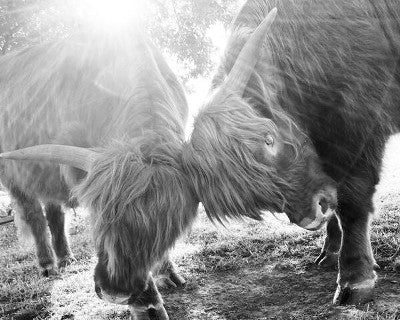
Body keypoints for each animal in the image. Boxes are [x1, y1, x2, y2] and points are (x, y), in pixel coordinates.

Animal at [0, 28, 198, 318]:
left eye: (168, 230)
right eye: (99, 220)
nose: (115, 292)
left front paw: (167, 274)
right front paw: (148, 305)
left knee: (54, 212)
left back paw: (66, 257)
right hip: (14, 177)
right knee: (34, 215)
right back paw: (48, 264)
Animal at [184, 0, 400, 304]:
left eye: (269, 139)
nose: (311, 216)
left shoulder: (359, 129)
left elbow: (351, 203)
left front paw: (355, 278)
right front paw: (330, 252)